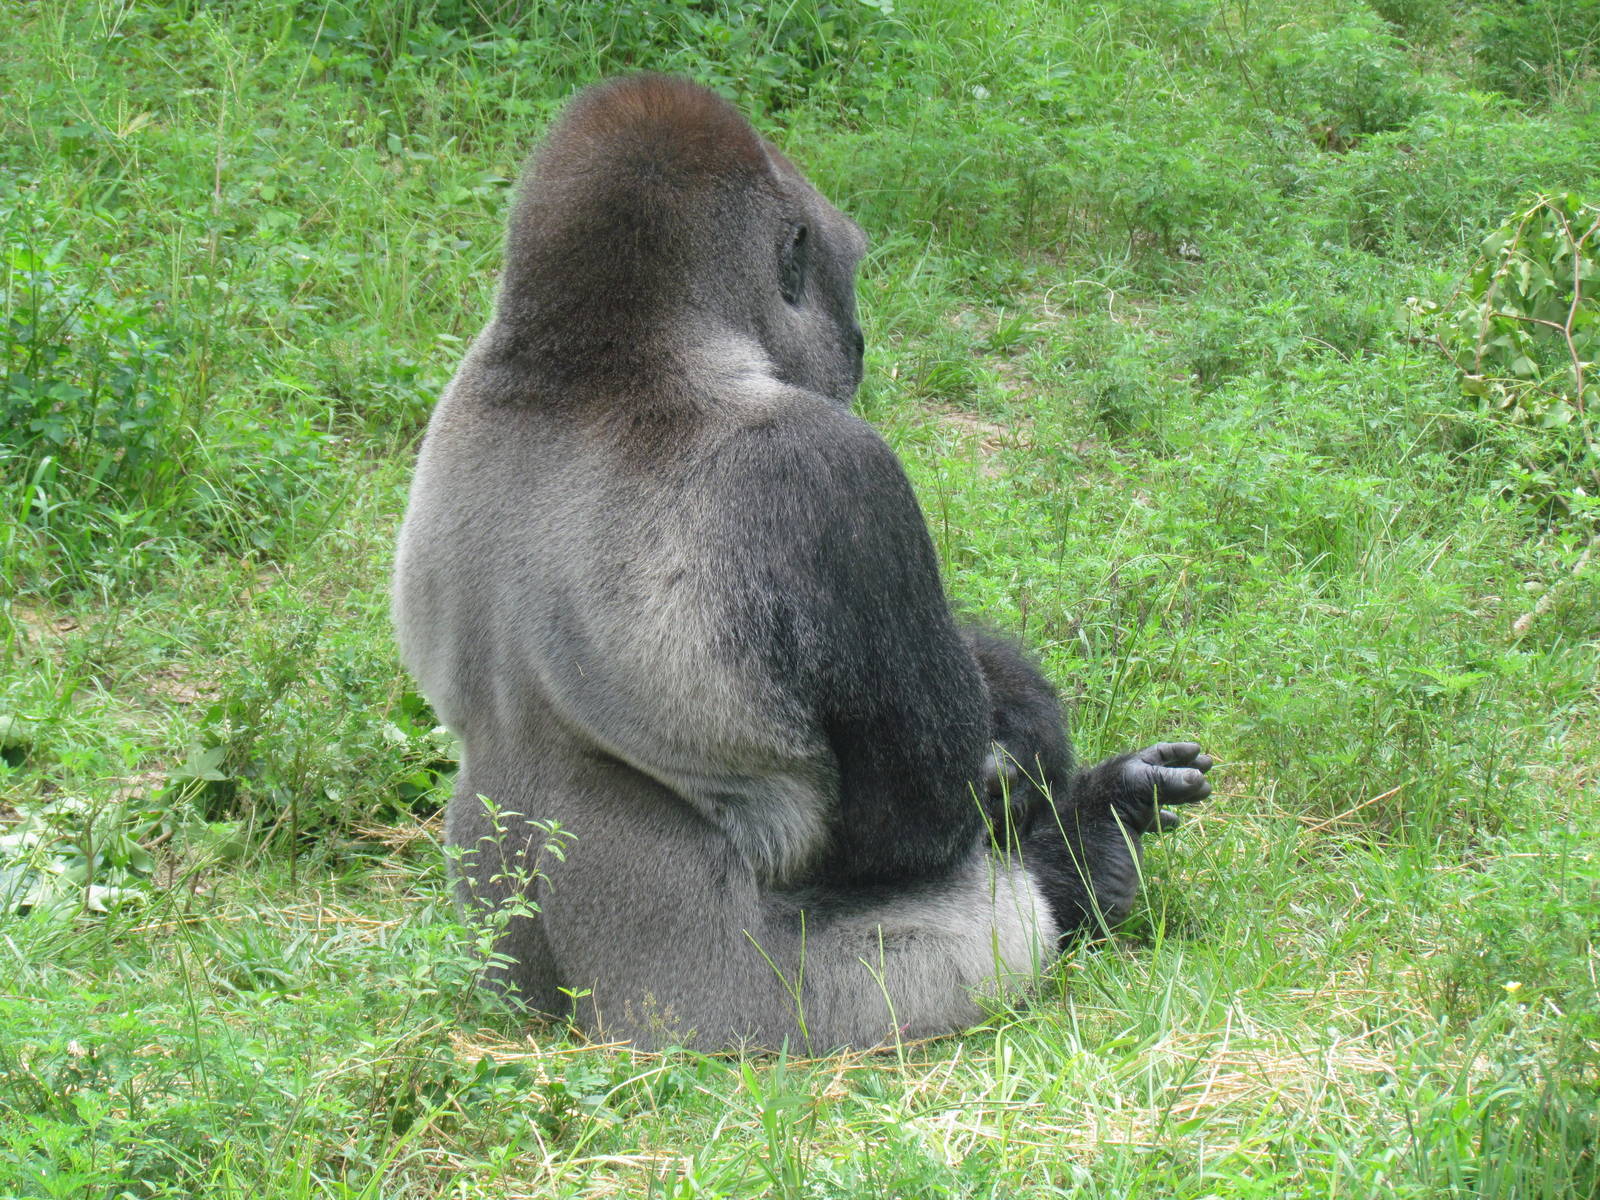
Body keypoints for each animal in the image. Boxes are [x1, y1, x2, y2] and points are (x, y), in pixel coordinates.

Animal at [393, 74, 1212, 1052]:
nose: (857, 341)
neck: (598, 353)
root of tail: (578, 1026)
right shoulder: (834, 470)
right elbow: (918, 811)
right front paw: (1038, 755)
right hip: (772, 1015)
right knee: (997, 917)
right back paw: (1093, 842)